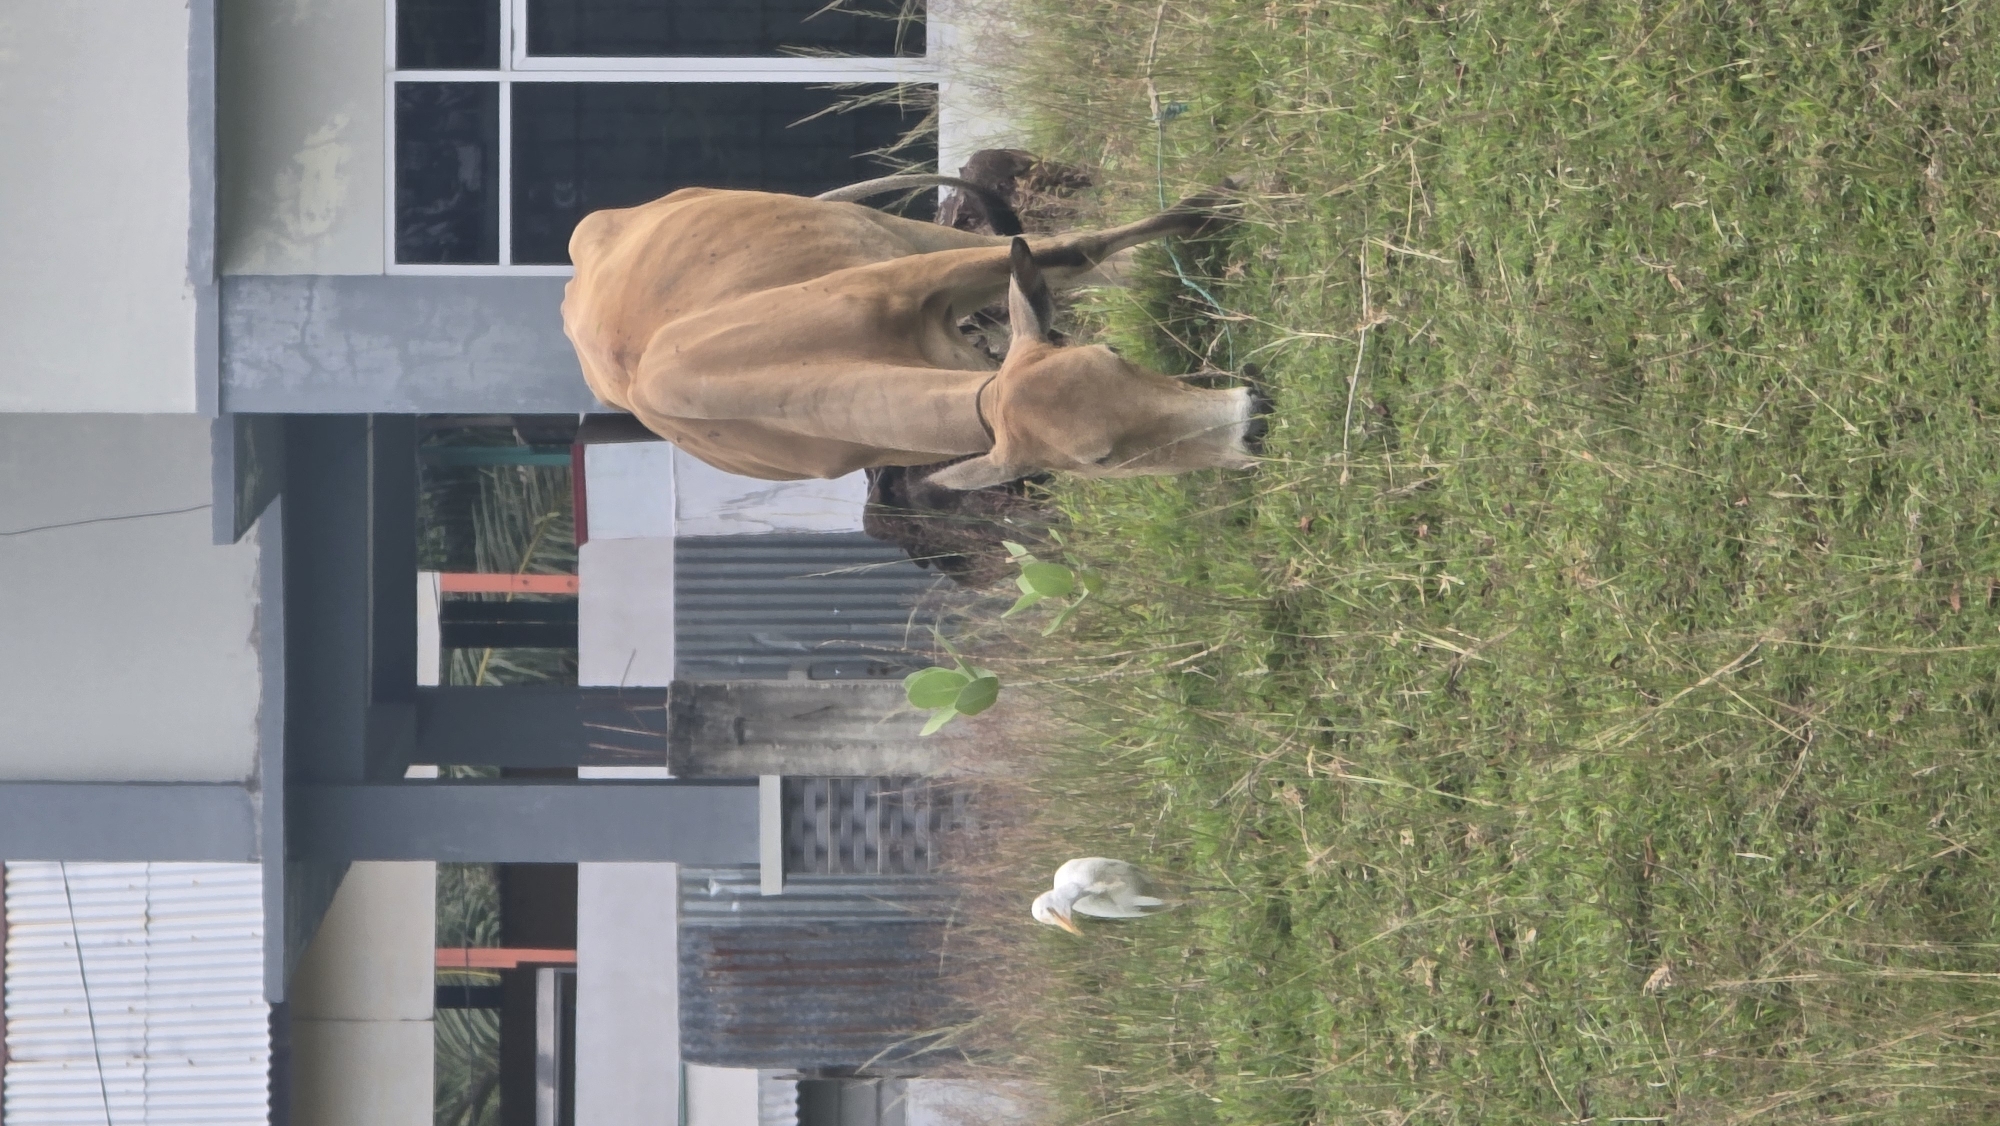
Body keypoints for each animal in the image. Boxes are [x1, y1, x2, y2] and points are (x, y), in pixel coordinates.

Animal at [561, 181, 1267, 490]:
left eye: (1113, 353)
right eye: (1101, 458)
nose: (1249, 420)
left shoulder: (917, 275)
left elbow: (1072, 248)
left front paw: (1213, 210)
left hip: (889, 228)